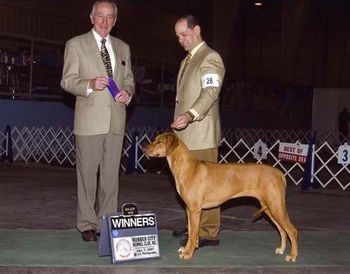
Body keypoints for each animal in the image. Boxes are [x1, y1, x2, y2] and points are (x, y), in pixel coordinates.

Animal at [142, 134, 298, 262]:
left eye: (159, 142)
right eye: (154, 139)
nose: (143, 148)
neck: (186, 167)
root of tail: (279, 173)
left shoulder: (195, 210)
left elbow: (193, 233)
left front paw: (188, 254)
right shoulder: (189, 209)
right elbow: (191, 230)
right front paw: (187, 249)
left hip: (275, 206)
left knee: (292, 231)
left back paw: (292, 256)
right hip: (269, 208)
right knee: (282, 230)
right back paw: (281, 249)